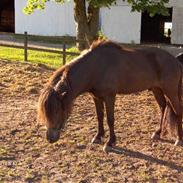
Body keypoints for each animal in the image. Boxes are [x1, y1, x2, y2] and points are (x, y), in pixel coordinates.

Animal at [37, 40, 183, 152]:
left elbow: (110, 119)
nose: (50, 138)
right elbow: (99, 117)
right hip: (156, 89)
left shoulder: (110, 97)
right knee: (163, 107)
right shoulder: (96, 97)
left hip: (170, 91)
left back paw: (178, 139)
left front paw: (110, 142)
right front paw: (98, 136)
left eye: (57, 111)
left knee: (177, 111)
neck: (96, 67)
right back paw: (158, 133)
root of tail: (175, 61)